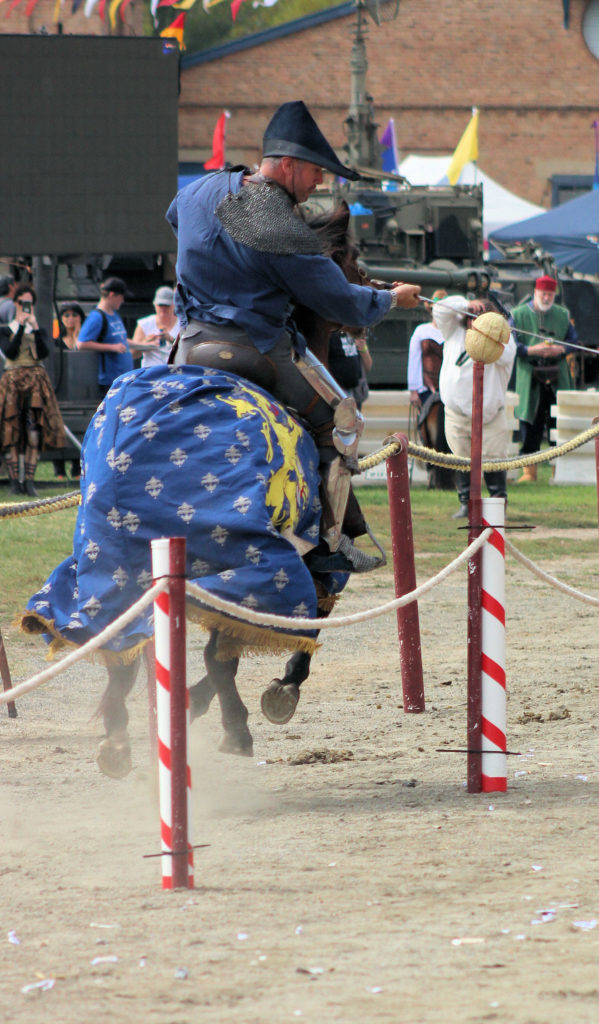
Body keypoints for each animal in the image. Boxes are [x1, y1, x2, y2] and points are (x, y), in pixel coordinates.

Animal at [19, 201, 368, 774]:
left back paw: (120, 737)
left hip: (117, 561)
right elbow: (296, 625)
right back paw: (228, 726)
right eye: (347, 261)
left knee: (116, 640)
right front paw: (275, 694)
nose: (363, 310)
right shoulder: (296, 562)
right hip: (236, 558)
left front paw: (190, 704)